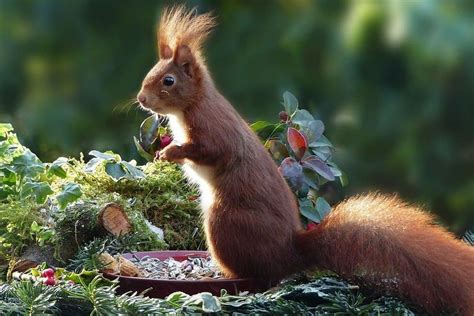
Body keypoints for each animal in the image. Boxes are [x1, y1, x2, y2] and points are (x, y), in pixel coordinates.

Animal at [137, 6, 474, 314]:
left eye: (168, 81)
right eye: (151, 73)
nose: (141, 99)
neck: (192, 105)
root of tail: (289, 252)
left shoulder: (214, 129)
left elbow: (212, 151)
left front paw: (172, 152)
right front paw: (163, 152)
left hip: (224, 221)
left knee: (260, 276)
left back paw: (221, 276)